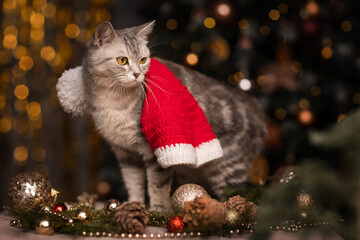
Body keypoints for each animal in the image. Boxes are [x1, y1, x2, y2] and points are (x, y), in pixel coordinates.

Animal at [82, 21, 268, 210]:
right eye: (122, 60)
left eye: (143, 60)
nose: (137, 74)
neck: (113, 101)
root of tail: (257, 107)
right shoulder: (125, 154)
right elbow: (133, 183)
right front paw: (133, 204)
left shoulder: (155, 151)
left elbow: (157, 186)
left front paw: (157, 210)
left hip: (229, 168)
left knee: (237, 193)